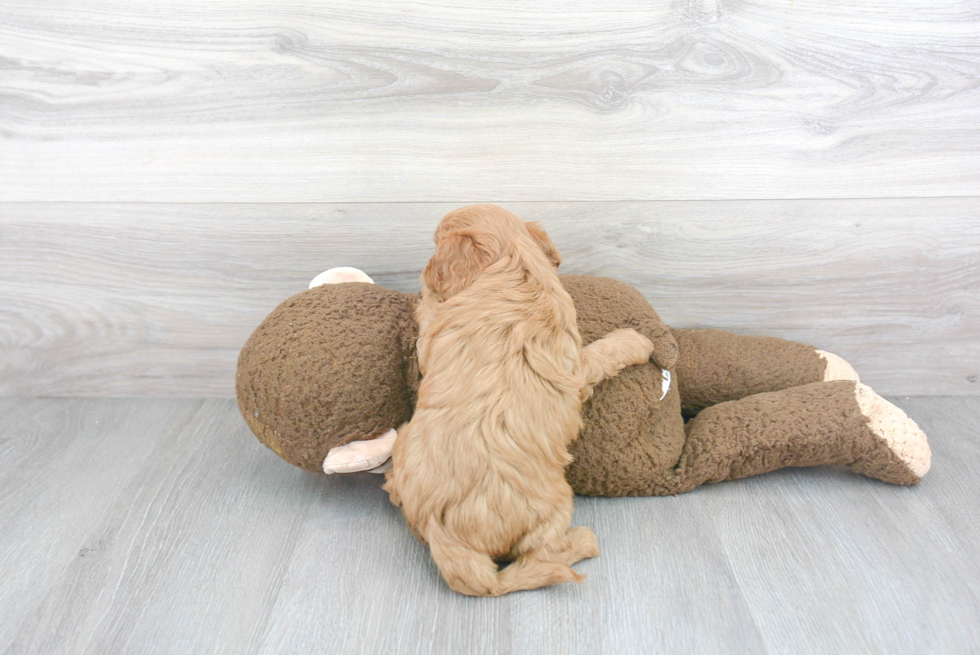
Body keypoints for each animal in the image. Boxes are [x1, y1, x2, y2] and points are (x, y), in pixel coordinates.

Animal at [382, 206, 652, 600]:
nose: (423, 273)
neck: (516, 267)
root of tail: (440, 531)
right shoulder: (574, 364)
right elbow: (602, 353)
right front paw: (634, 341)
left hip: (403, 440)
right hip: (555, 505)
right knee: (539, 559)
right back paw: (582, 542)